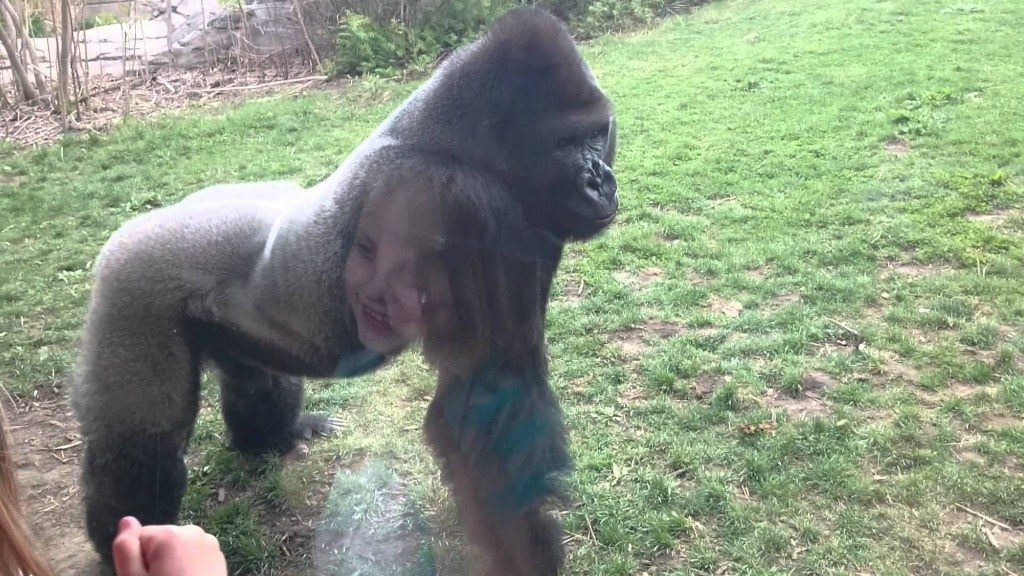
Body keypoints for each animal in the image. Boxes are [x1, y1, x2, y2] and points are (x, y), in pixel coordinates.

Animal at [71, 7, 618, 572]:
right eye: (565, 143)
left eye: (598, 135)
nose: (601, 181)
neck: (459, 141)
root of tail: (127, 233)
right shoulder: (464, 204)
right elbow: (488, 412)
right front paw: (529, 555)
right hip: (132, 286)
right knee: (142, 445)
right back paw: (120, 541)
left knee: (256, 376)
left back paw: (271, 437)